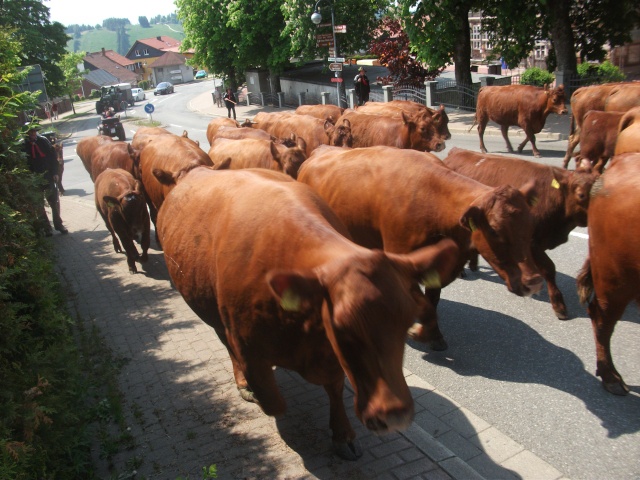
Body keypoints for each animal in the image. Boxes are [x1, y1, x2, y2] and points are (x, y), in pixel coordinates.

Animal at [156, 167, 460, 460]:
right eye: (343, 327)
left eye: (407, 323)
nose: (394, 416)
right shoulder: (248, 347)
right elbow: (273, 402)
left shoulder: (332, 356)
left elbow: (335, 388)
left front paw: (343, 435)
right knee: (227, 346)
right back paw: (242, 383)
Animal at [298, 144, 544, 350]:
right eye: (494, 231)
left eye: (531, 225)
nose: (534, 281)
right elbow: (424, 304)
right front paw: (420, 332)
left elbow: (432, 300)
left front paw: (435, 336)